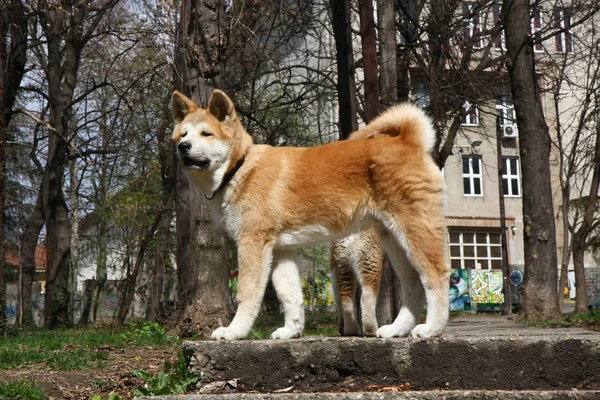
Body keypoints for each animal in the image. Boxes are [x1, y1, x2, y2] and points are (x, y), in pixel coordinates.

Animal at [171, 89, 448, 340]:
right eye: (183, 134)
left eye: (206, 134)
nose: (183, 147)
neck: (239, 168)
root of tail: (409, 141)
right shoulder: (280, 250)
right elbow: (291, 295)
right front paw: (291, 331)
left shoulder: (252, 242)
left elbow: (247, 294)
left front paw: (234, 331)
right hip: (393, 240)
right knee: (413, 284)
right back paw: (397, 329)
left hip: (414, 231)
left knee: (436, 276)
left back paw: (432, 329)